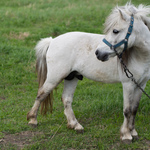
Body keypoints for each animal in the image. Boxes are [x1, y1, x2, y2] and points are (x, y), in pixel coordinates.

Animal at [27, 3, 150, 143]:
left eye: (115, 31)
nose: (98, 53)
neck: (141, 57)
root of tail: (52, 41)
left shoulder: (141, 84)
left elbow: (134, 109)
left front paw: (133, 132)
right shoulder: (128, 84)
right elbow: (127, 110)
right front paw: (126, 135)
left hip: (72, 77)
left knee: (66, 99)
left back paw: (75, 125)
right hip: (54, 77)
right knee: (41, 94)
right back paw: (32, 120)